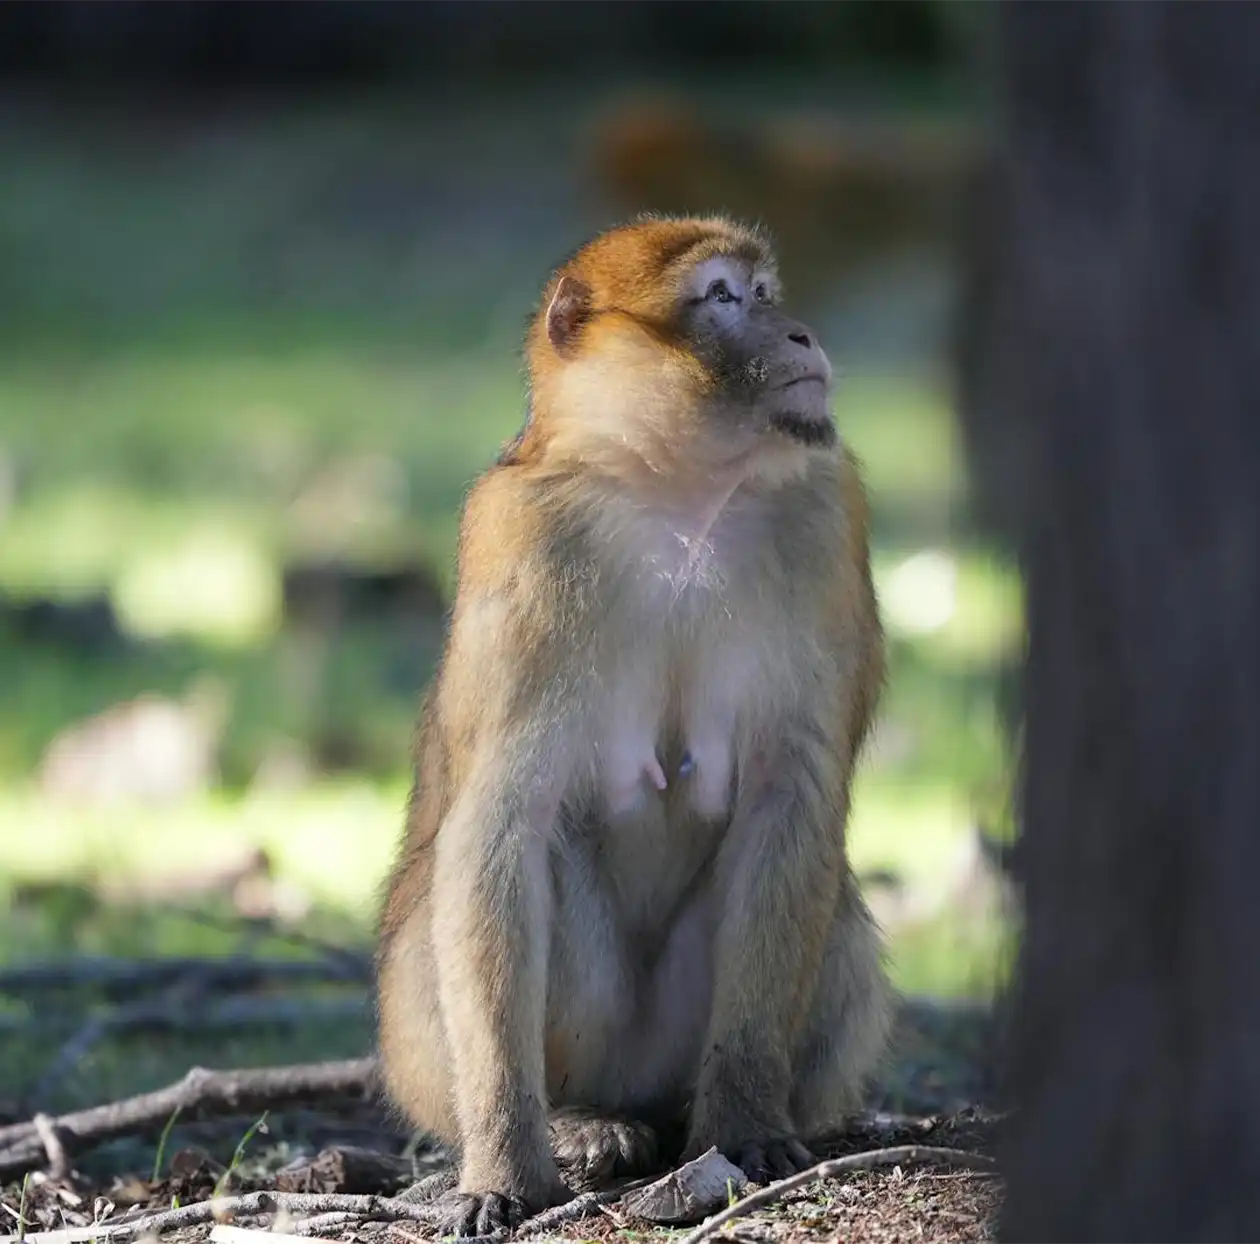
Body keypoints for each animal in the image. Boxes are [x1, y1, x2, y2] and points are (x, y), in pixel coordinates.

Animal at [375, 214, 891, 1237]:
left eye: (766, 293)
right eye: (724, 298)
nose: (802, 333)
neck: (678, 488)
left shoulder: (826, 514)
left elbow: (789, 798)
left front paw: (745, 1122)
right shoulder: (522, 536)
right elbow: (500, 828)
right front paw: (504, 1162)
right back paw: (583, 1122)